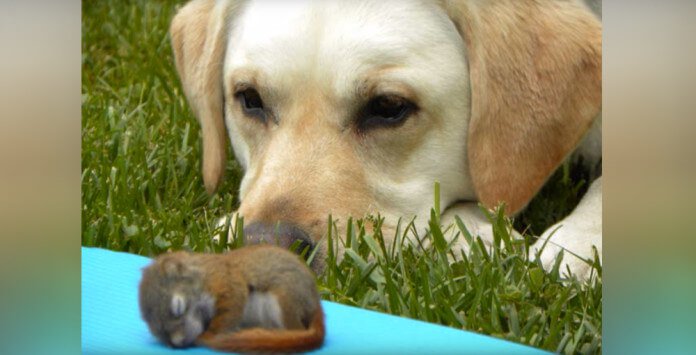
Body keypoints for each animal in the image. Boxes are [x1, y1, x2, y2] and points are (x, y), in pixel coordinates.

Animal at [140, 245, 328, 354]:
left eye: (178, 307)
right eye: (156, 330)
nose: (176, 343)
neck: (203, 275)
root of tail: (314, 304)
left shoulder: (226, 283)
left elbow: (228, 311)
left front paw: (207, 336)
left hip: (283, 301)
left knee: (296, 328)